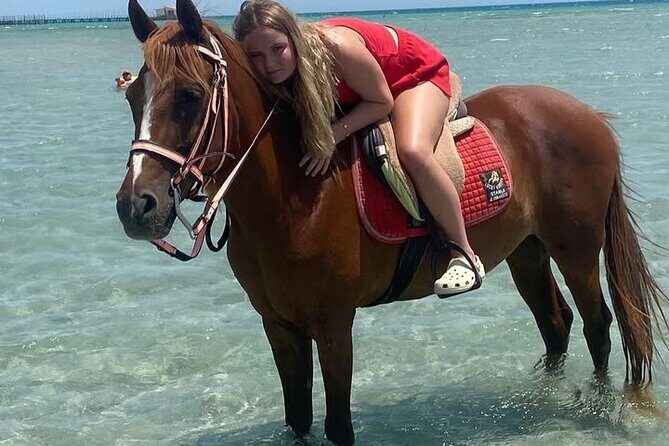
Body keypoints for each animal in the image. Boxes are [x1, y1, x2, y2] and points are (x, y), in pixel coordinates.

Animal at [115, 1, 669, 444]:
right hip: (526, 250)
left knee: (598, 327)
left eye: (189, 95)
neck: (293, 197)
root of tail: (590, 116)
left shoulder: (333, 324)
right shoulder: (279, 326)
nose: (136, 206)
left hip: (576, 250)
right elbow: (297, 420)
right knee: (556, 324)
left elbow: (338, 426)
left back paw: (591, 407)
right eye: (132, 96)